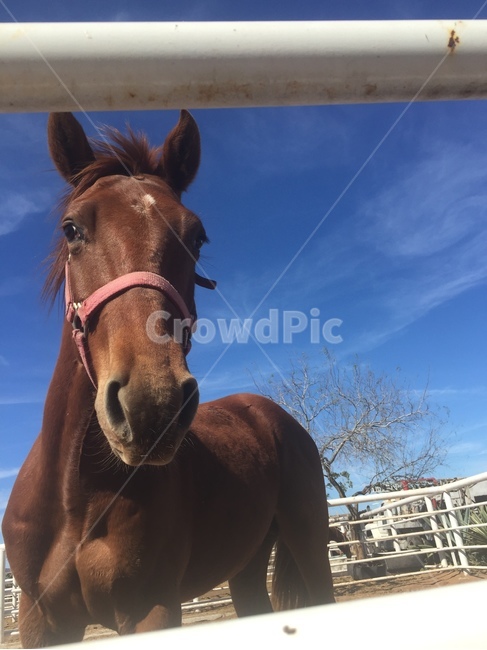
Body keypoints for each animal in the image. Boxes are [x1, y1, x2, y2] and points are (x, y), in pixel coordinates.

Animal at [2, 110, 335, 647]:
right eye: (71, 229)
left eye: (196, 236)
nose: (150, 405)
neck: (74, 500)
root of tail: (273, 414)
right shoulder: (39, 618)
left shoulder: (149, 610)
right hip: (246, 569)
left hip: (309, 546)